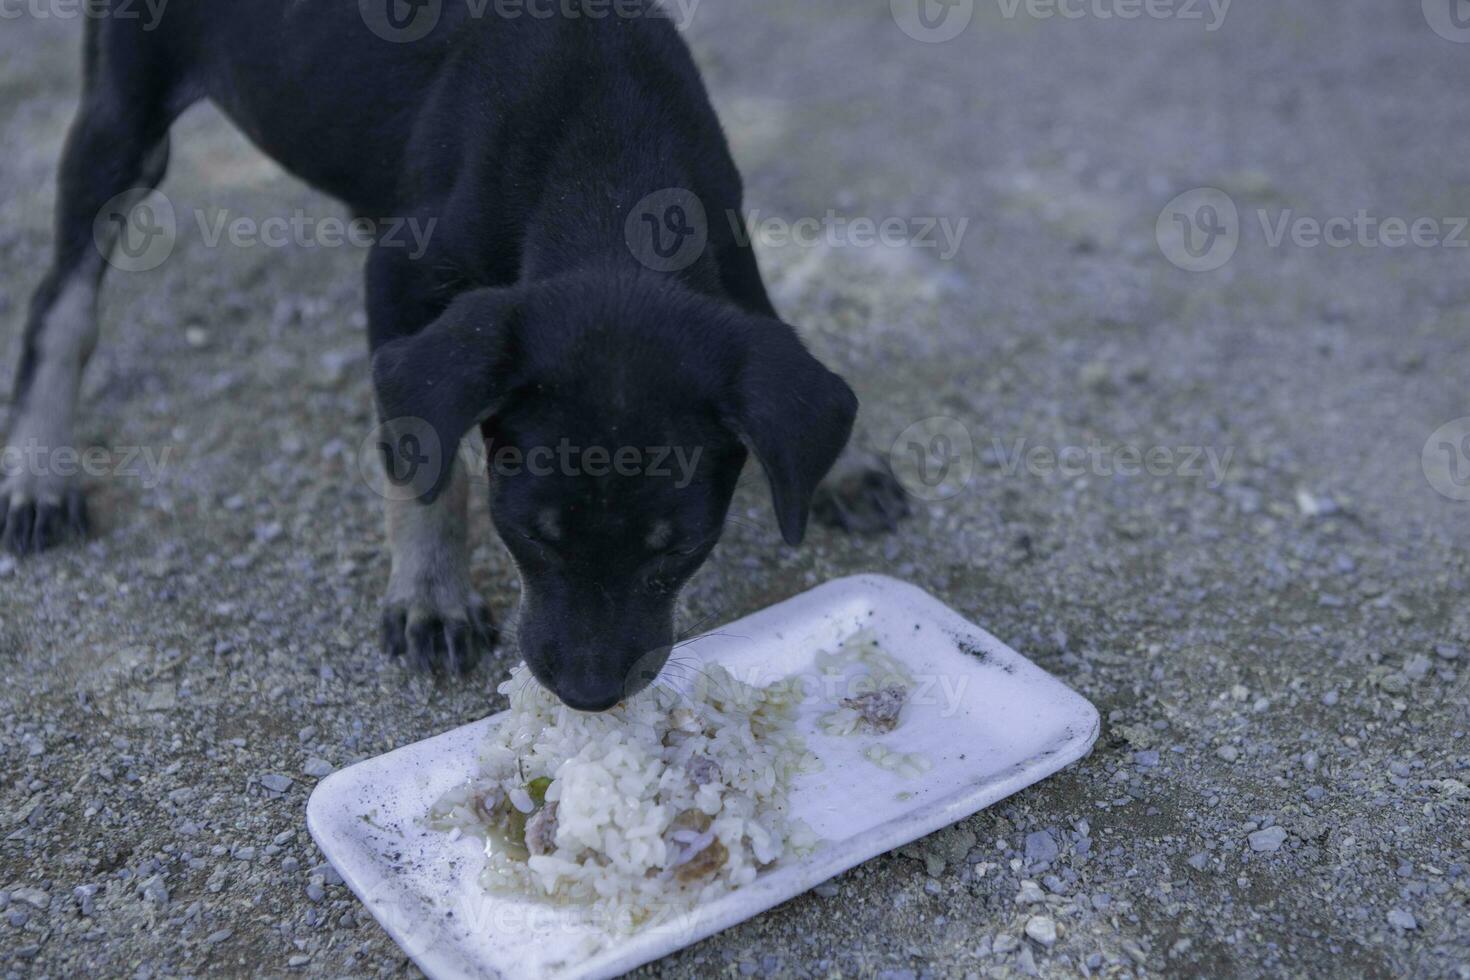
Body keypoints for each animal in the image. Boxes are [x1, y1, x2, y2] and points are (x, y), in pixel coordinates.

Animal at [2, 0, 905, 705]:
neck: (606, 154)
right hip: (126, 110)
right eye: (532, 534)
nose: (589, 695)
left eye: (678, 550)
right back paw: (39, 474)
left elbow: (783, 347)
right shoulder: (401, 271)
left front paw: (846, 466)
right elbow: (425, 463)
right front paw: (432, 595)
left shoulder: (729, 245)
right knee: (61, 304)